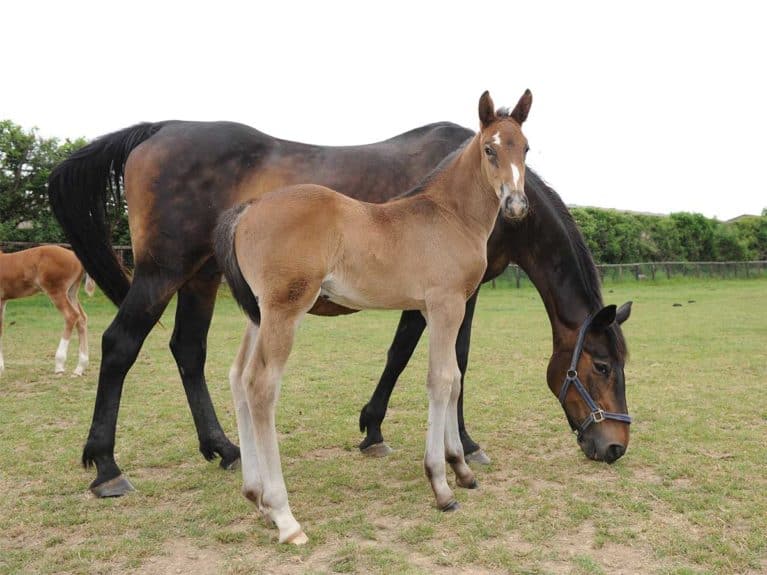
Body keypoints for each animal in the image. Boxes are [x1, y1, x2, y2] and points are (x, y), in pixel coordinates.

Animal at [0, 244, 94, 376]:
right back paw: (79, 368)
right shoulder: (3, 301)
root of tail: (74, 256)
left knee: (71, 316)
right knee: (82, 319)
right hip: (71, 292)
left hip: (56, 291)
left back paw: (59, 365)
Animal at [216, 91, 536, 544]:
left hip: (257, 314)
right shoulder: (446, 305)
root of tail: (247, 209)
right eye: (490, 149)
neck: (450, 215)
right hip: (283, 311)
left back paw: (256, 497)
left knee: (238, 377)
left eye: (525, 148)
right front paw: (441, 485)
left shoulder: (438, 310)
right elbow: (441, 381)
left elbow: (454, 378)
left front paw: (461, 469)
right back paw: (284, 516)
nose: (517, 205)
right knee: (261, 385)